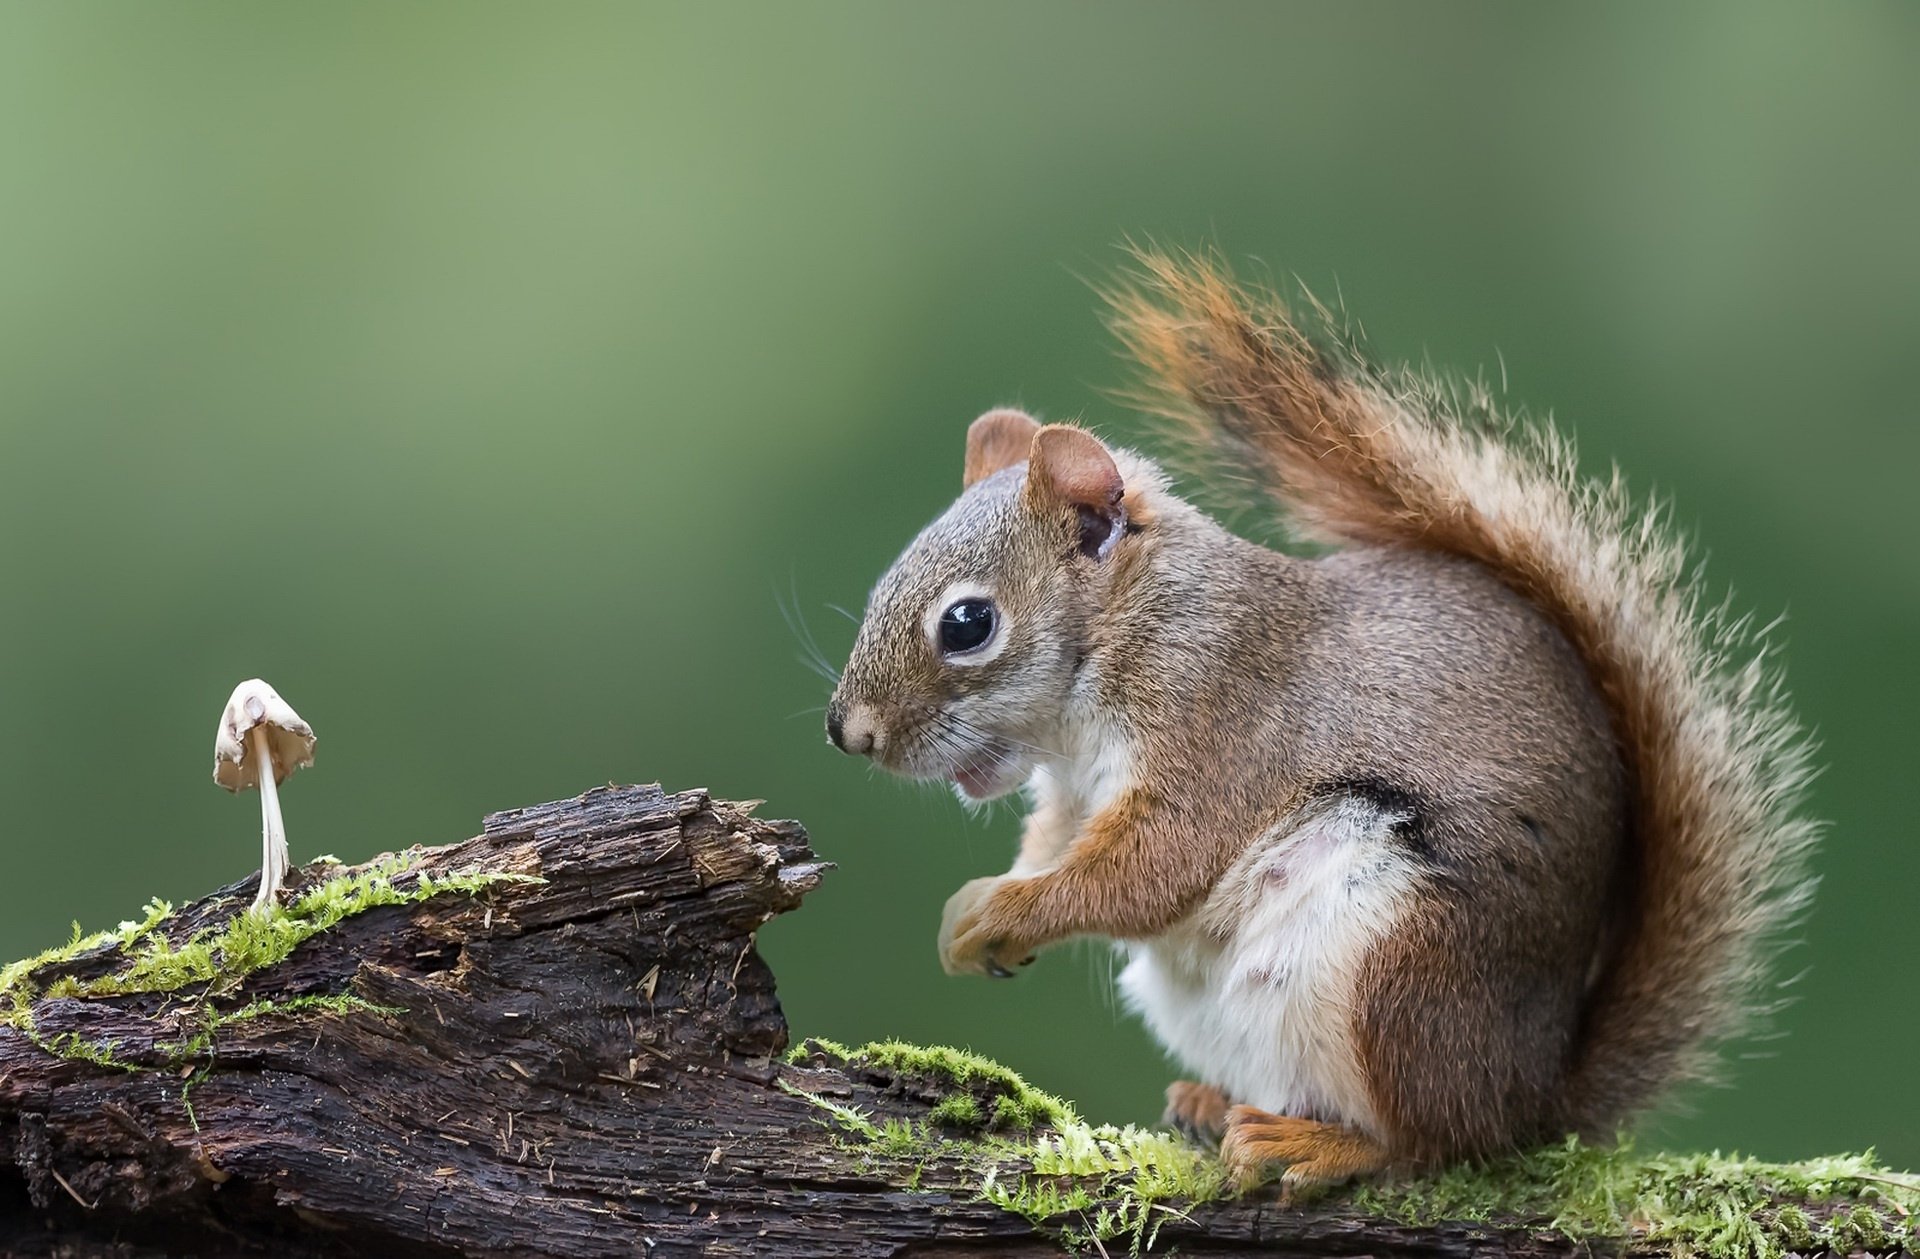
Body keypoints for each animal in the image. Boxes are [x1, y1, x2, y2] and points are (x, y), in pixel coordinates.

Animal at [825, 251, 1817, 1191]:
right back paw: (1214, 1102)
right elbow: (1056, 847)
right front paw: (984, 909)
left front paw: (1004, 911)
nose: (848, 733)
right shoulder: (1072, 793)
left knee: (1437, 1142)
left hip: (1399, 964)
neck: (1129, 632)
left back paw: (1321, 1145)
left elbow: (1149, 871)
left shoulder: (1217, 725)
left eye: (967, 623)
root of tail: (1534, 1092)